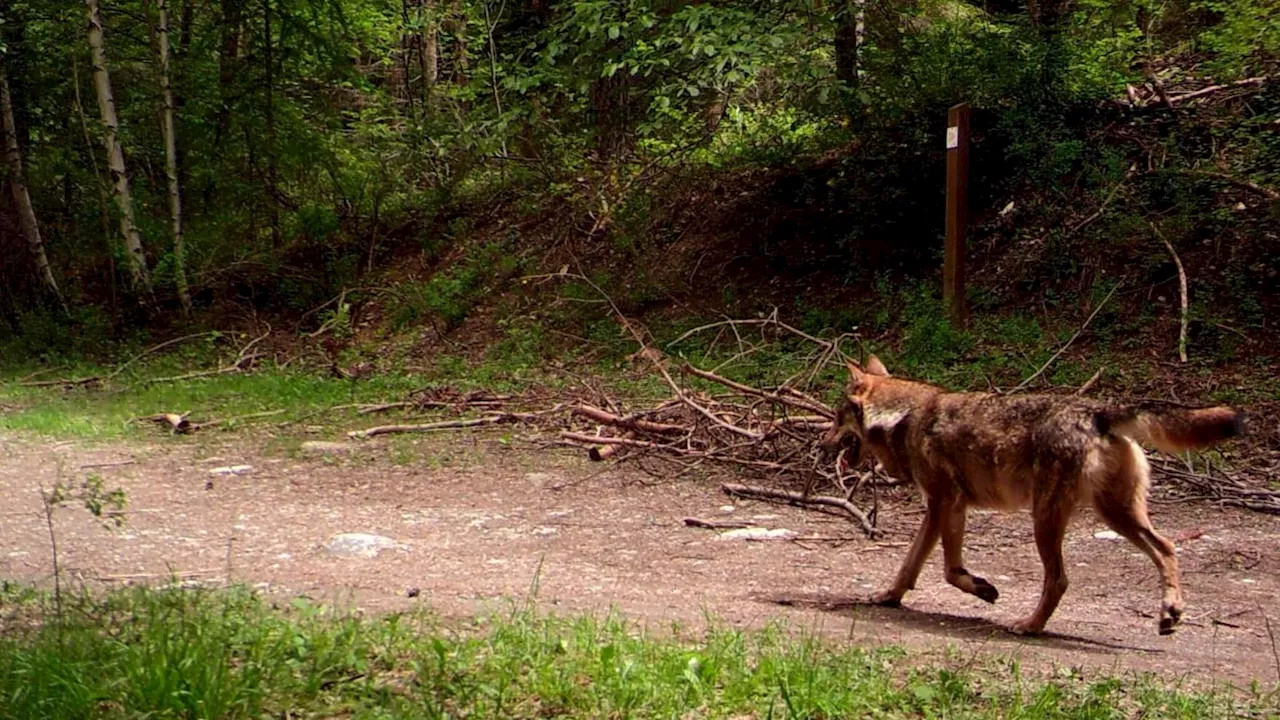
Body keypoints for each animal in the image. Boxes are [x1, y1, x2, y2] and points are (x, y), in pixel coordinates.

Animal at [814, 353, 1244, 632]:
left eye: (836, 419)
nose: (821, 443)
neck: (905, 417)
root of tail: (1096, 411)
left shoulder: (945, 503)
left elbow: (950, 570)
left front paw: (982, 589)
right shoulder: (939, 508)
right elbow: (910, 565)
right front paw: (888, 597)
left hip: (1045, 520)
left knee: (1059, 580)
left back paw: (1029, 626)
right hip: (1115, 515)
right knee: (1168, 548)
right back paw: (1170, 613)